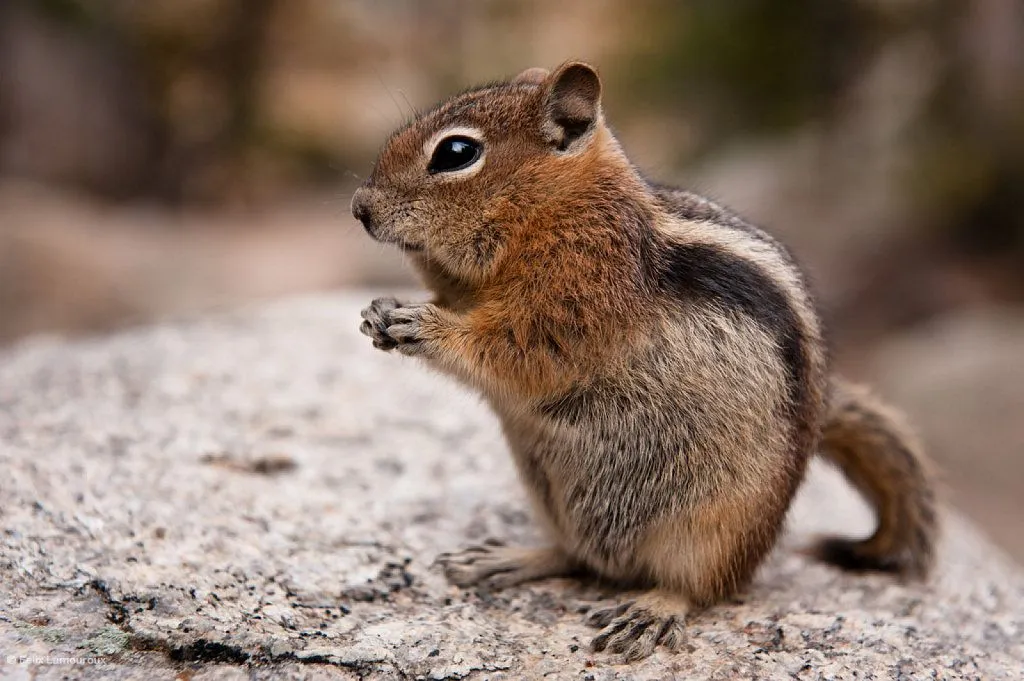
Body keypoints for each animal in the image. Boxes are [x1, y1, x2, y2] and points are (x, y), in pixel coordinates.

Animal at [352, 62, 937, 659]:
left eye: (456, 153)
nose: (360, 209)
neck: (556, 209)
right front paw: (381, 310)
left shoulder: (578, 293)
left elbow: (518, 350)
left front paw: (423, 325)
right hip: (552, 498)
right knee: (576, 556)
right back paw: (507, 558)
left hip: (712, 531)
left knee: (699, 588)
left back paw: (650, 611)